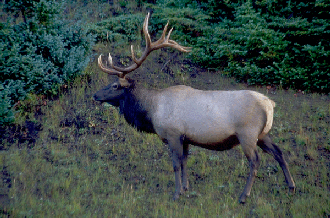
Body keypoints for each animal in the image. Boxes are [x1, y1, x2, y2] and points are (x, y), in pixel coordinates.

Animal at [93, 12, 296, 204]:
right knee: (279, 152)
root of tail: (270, 104)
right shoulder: (186, 138)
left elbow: (176, 164)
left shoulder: (173, 134)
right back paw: (291, 187)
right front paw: (185, 188)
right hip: (263, 134)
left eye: (115, 86)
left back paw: (243, 196)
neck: (152, 110)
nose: (95, 95)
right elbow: (184, 162)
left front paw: (176, 194)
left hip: (248, 133)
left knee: (255, 161)